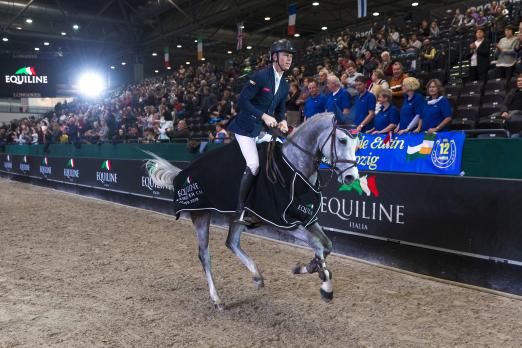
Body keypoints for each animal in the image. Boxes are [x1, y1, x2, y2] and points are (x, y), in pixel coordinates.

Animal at [144, 113, 360, 310]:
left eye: (356, 145)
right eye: (342, 140)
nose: (351, 177)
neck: (292, 169)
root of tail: (183, 173)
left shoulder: (307, 219)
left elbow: (327, 245)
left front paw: (307, 268)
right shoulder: (285, 223)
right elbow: (317, 244)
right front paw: (326, 287)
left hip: (236, 217)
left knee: (231, 243)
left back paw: (257, 276)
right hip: (201, 215)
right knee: (204, 255)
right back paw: (217, 300)